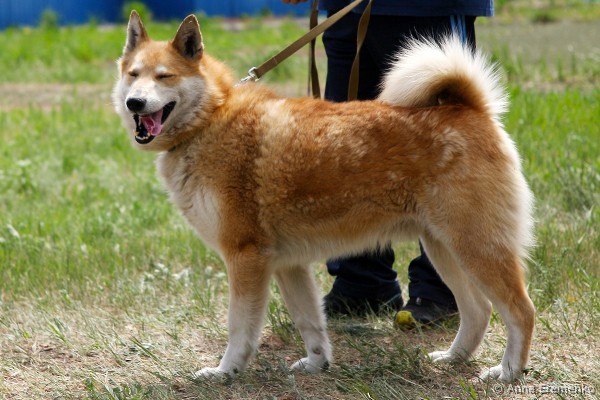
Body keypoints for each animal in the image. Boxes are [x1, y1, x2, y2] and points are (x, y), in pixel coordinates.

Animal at [113, 11, 535, 382]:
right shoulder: (286, 264)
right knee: (478, 310)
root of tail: (471, 108)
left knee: (520, 311)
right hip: (443, 247)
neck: (209, 120)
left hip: (475, 246)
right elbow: (309, 322)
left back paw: (508, 372)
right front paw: (317, 365)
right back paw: (453, 358)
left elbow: (239, 327)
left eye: (164, 76)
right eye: (133, 75)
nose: (135, 103)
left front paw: (225, 372)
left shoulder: (245, 257)